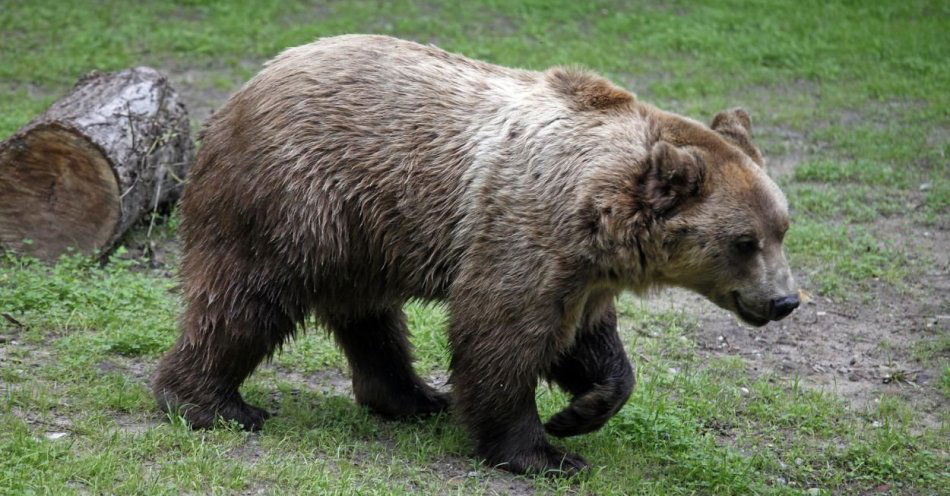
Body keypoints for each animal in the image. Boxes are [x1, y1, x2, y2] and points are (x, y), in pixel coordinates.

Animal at [152, 33, 800, 474]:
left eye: (782, 228)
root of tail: (241, 92)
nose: (785, 300)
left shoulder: (583, 272)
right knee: (248, 298)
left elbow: (590, 343)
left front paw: (582, 410)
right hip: (294, 195)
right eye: (744, 241)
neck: (599, 213)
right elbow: (500, 330)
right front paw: (542, 452)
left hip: (363, 231)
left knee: (369, 316)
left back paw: (413, 396)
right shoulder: (524, 229)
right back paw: (213, 404)